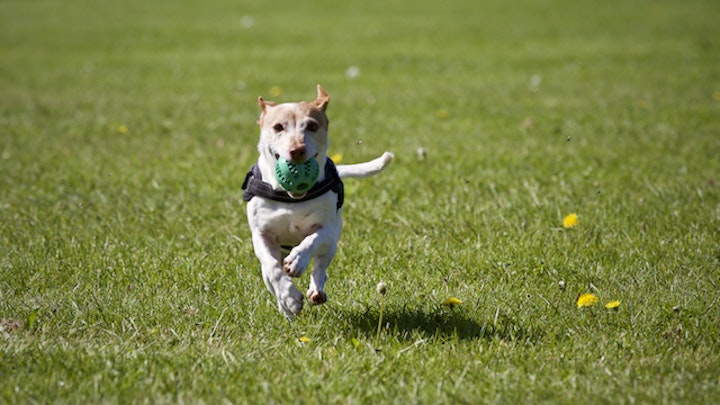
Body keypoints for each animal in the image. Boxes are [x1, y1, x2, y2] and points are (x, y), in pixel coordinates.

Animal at [245, 85, 394, 318]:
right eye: (278, 127)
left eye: (312, 126)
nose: (297, 150)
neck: (291, 199)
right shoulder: (261, 234)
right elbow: (273, 268)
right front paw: (289, 298)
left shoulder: (327, 230)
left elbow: (311, 241)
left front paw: (297, 261)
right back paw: (286, 308)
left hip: (331, 246)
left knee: (320, 267)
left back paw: (316, 290)